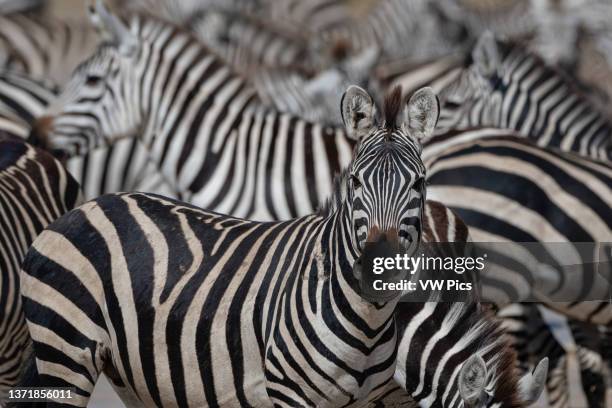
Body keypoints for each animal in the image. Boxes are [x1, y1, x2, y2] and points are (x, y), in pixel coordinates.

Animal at [15, 83, 440, 408]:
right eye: (355, 181)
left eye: (418, 183)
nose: (380, 264)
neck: (367, 321)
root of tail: (85, 205)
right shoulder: (290, 394)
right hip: (65, 350)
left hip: (130, 372)